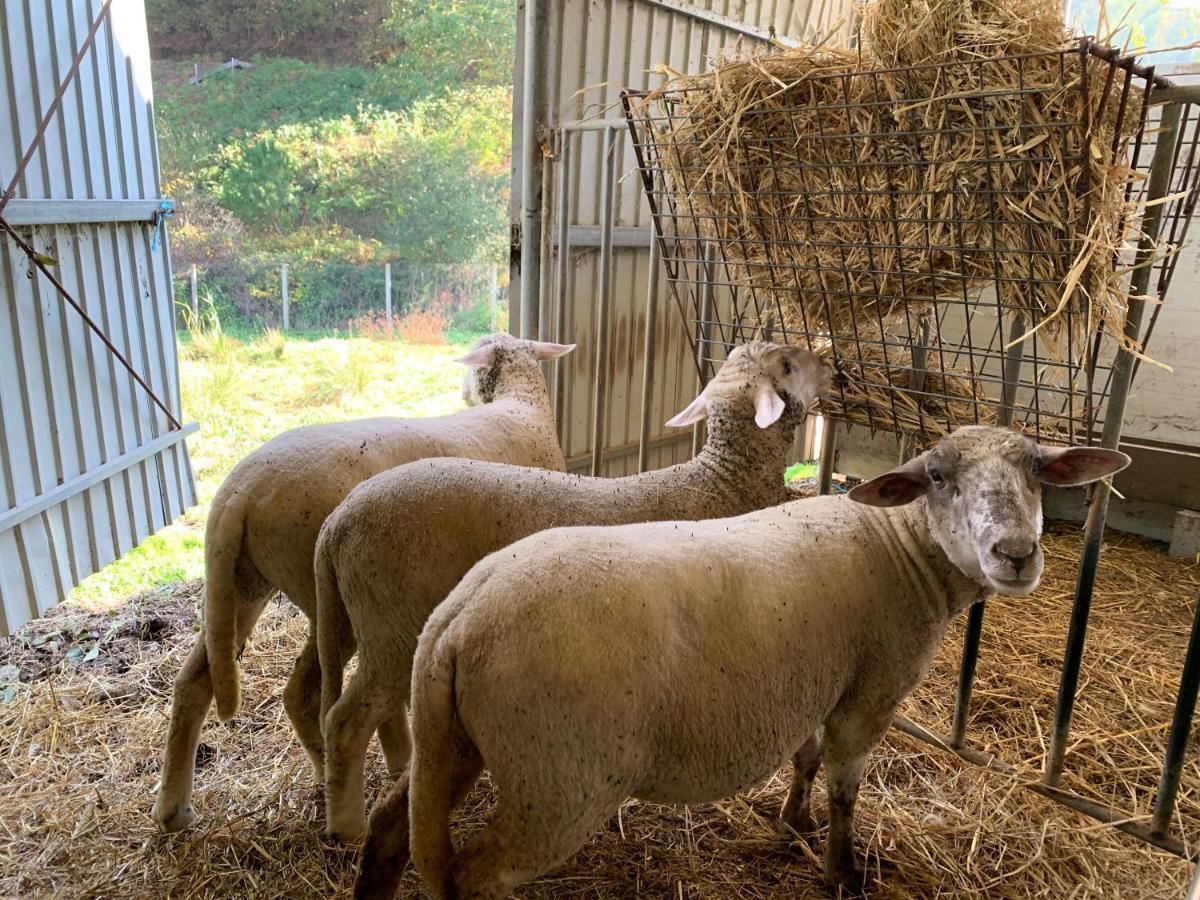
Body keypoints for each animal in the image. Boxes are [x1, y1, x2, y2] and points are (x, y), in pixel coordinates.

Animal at [148, 336, 571, 835]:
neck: (520, 404)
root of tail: (239, 491)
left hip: (242, 581)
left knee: (195, 682)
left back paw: (175, 809)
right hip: (329, 594)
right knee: (308, 693)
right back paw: (346, 779)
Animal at [314, 340, 830, 844]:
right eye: (787, 365)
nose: (827, 364)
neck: (720, 484)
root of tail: (337, 521)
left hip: (369, 625)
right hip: (392, 628)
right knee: (344, 722)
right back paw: (346, 827)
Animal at [352, 427, 1123, 897]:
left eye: (1037, 470)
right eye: (937, 476)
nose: (1015, 554)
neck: (902, 549)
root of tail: (458, 618)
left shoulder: (816, 678)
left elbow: (805, 759)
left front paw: (792, 822)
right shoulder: (870, 693)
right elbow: (845, 788)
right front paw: (840, 869)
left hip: (458, 741)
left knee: (391, 822)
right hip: (561, 781)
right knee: (478, 876)